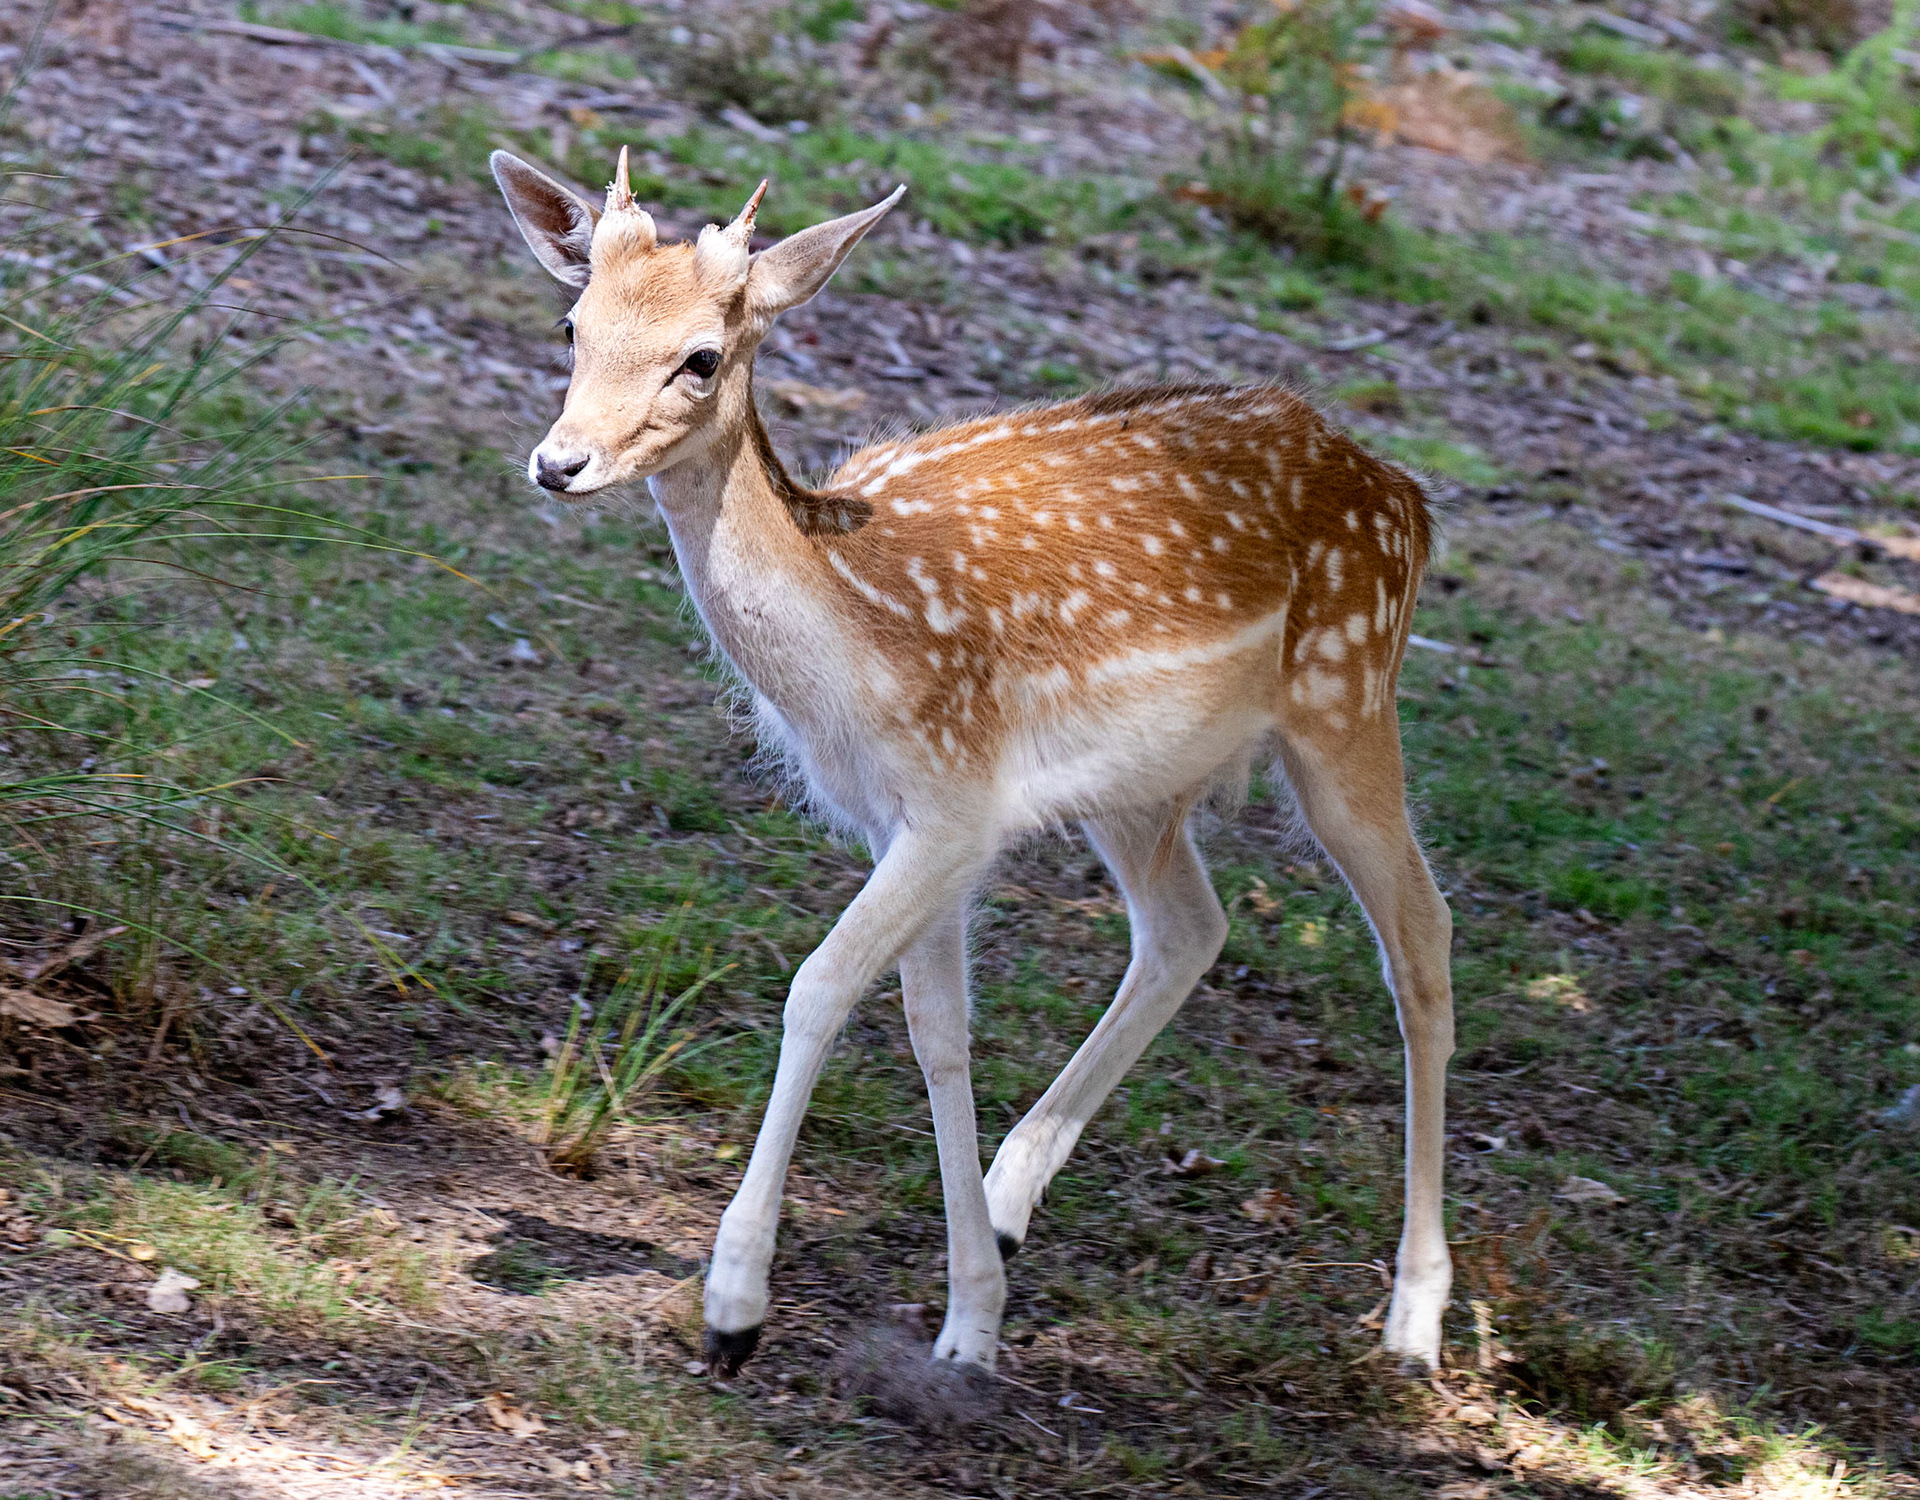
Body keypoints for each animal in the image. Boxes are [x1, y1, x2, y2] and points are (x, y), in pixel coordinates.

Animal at [490, 147, 1456, 1379]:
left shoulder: (956, 801)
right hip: (1141, 790)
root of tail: (1408, 498)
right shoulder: (908, 820)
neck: (855, 644)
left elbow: (819, 988)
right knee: (1190, 929)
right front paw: (971, 1318)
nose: (559, 461)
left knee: (1421, 938)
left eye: (700, 356)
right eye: (572, 323)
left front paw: (737, 1305)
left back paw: (1416, 1318)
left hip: (1348, 699)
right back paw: (1007, 1200)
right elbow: (937, 1035)